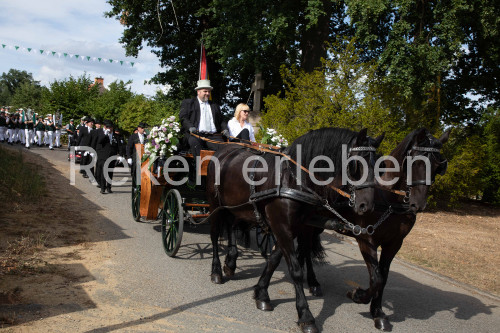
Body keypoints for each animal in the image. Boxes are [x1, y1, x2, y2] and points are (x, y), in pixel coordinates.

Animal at [206, 127, 382, 332]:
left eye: (378, 166)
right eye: (356, 164)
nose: (366, 206)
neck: (294, 179)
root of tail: (225, 148)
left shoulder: (298, 227)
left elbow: (274, 260)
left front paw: (261, 293)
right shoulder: (282, 227)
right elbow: (295, 269)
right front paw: (306, 315)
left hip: (237, 208)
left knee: (232, 227)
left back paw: (231, 262)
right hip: (214, 204)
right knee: (214, 235)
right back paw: (216, 271)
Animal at [294, 127, 452, 330]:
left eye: (438, 166)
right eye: (415, 162)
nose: (418, 205)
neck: (389, 200)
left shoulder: (394, 244)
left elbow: (383, 277)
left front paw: (378, 313)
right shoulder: (366, 239)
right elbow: (376, 278)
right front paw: (358, 295)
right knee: (305, 249)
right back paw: (312, 282)